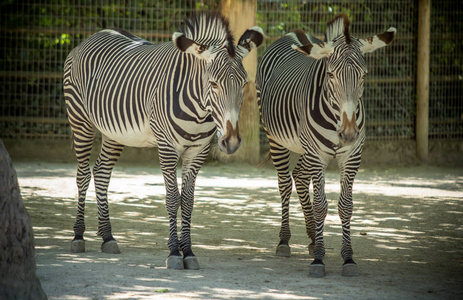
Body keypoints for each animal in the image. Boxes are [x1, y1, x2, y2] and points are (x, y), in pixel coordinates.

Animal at [64, 12, 264, 270]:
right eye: (213, 84)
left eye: (244, 84)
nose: (230, 142)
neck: (200, 111)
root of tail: (94, 35)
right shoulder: (167, 148)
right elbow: (171, 198)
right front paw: (174, 253)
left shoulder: (197, 151)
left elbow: (187, 200)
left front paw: (188, 251)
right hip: (80, 120)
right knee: (82, 176)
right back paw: (78, 236)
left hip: (114, 132)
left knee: (101, 172)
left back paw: (108, 237)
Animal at [258, 13, 396, 276]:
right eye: (331, 75)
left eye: (364, 75)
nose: (349, 133)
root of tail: (292, 33)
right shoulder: (317, 154)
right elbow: (321, 205)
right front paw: (319, 260)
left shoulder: (352, 156)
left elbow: (346, 205)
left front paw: (348, 257)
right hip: (277, 140)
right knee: (284, 184)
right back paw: (284, 240)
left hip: (303, 148)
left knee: (300, 178)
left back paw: (313, 237)